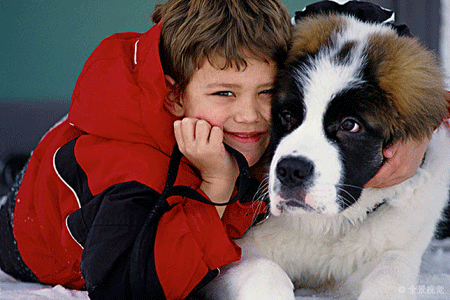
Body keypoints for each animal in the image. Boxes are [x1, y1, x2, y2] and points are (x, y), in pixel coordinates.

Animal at [202, 12, 450, 300]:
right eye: (287, 116)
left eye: (349, 125)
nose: (291, 171)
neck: (327, 226)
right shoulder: (232, 255)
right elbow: (265, 271)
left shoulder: (392, 250)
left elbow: (391, 269)